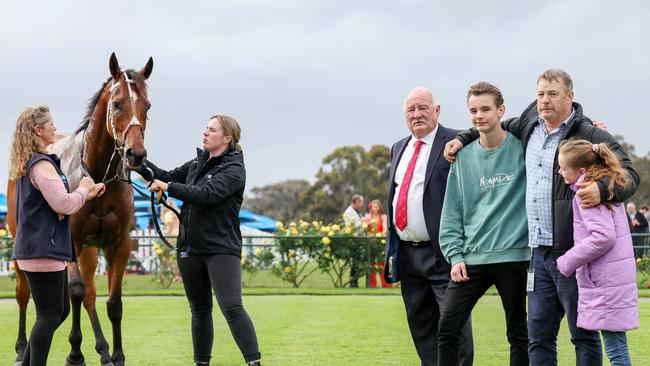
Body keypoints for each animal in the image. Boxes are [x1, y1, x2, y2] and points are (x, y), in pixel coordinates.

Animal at [7, 52, 153, 366]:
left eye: (147, 105)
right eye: (116, 103)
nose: (136, 155)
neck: (97, 176)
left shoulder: (118, 244)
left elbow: (113, 302)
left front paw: (117, 355)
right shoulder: (71, 241)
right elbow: (75, 291)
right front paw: (74, 353)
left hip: (90, 249)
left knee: (90, 295)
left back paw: (103, 350)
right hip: (20, 246)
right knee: (25, 293)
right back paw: (22, 348)